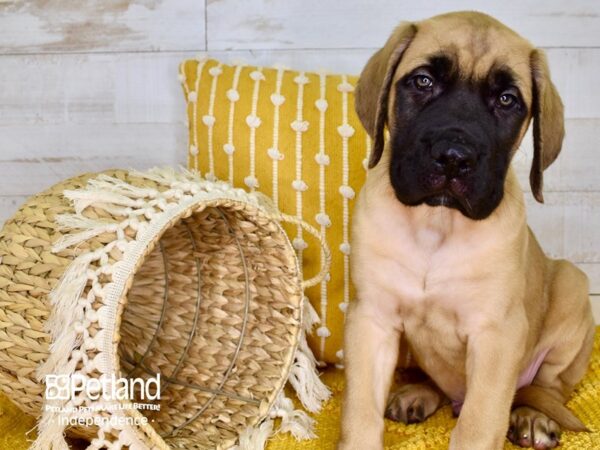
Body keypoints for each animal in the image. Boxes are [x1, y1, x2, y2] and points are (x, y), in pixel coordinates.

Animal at [338, 10, 596, 450]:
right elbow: (359, 414)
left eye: (507, 100)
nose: (454, 158)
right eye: (423, 81)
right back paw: (419, 393)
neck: (436, 226)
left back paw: (532, 417)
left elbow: (479, 423)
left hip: (572, 287)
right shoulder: (371, 319)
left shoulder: (496, 334)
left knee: (544, 388)